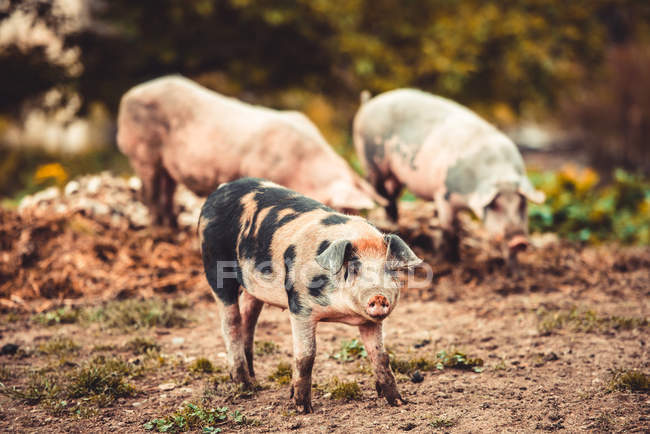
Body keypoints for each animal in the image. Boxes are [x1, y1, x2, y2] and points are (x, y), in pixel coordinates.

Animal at [116, 75, 382, 227]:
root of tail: (130, 93)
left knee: (167, 188)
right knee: (149, 190)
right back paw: (159, 229)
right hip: (141, 151)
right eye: (343, 210)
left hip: (165, 164)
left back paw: (172, 225)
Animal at [199, 177, 420, 414]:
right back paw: (244, 386)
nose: (378, 297)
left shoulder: (369, 321)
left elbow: (380, 356)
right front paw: (302, 408)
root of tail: (220, 190)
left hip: (253, 287)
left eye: (391, 269)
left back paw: (255, 381)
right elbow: (306, 356)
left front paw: (398, 402)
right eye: (353, 267)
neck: (342, 312)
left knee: (248, 321)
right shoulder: (299, 306)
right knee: (230, 323)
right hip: (215, 268)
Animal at [352, 88, 544, 262]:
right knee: (378, 190)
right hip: (372, 159)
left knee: (392, 195)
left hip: (396, 175)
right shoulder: (443, 194)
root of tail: (369, 103)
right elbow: (450, 229)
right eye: (495, 204)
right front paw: (449, 261)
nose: (519, 240)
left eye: (522, 203)